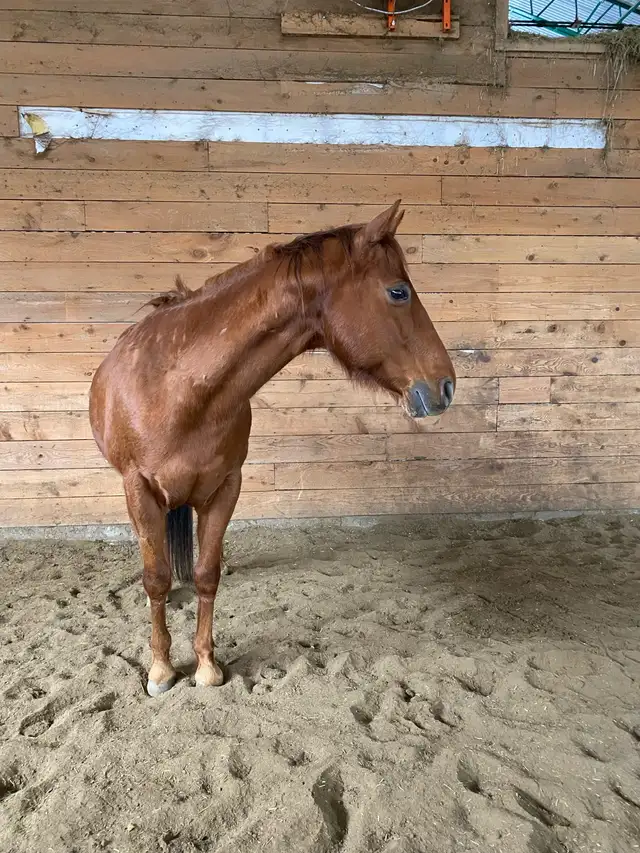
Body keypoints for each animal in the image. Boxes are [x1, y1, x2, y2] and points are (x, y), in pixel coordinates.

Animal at [89, 201, 456, 697]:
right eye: (398, 291)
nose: (446, 386)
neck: (178, 389)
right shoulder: (139, 490)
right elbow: (155, 578)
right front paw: (162, 669)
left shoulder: (225, 489)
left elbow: (207, 574)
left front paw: (206, 665)